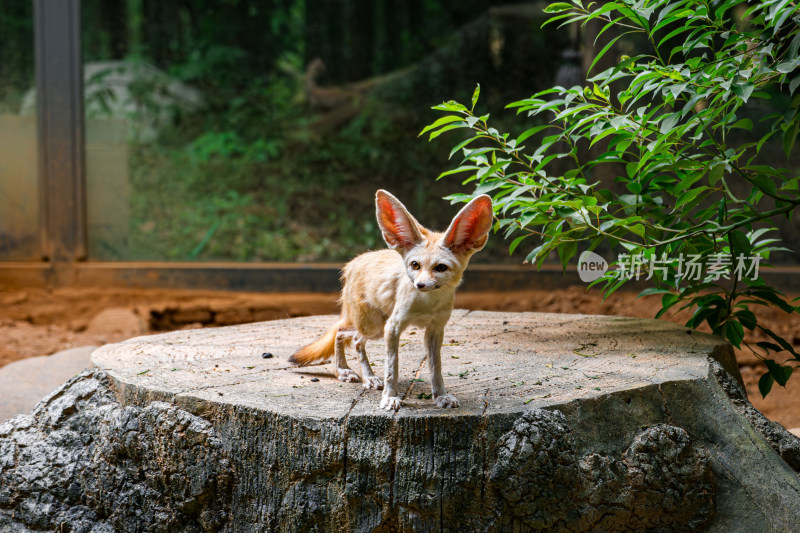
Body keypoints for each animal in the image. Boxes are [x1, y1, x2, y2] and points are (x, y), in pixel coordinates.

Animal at [290, 190, 494, 412]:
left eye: (441, 268)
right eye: (415, 265)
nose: (420, 285)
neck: (427, 305)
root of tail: (354, 262)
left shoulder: (435, 329)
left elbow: (436, 368)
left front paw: (441, 396)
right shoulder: (393, 327)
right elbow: (392, 368)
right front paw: (390, 397)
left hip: (376, 327)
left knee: (348, 336)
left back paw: (356, 373)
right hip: (374, 327)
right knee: (345, 334)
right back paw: (350, 372)